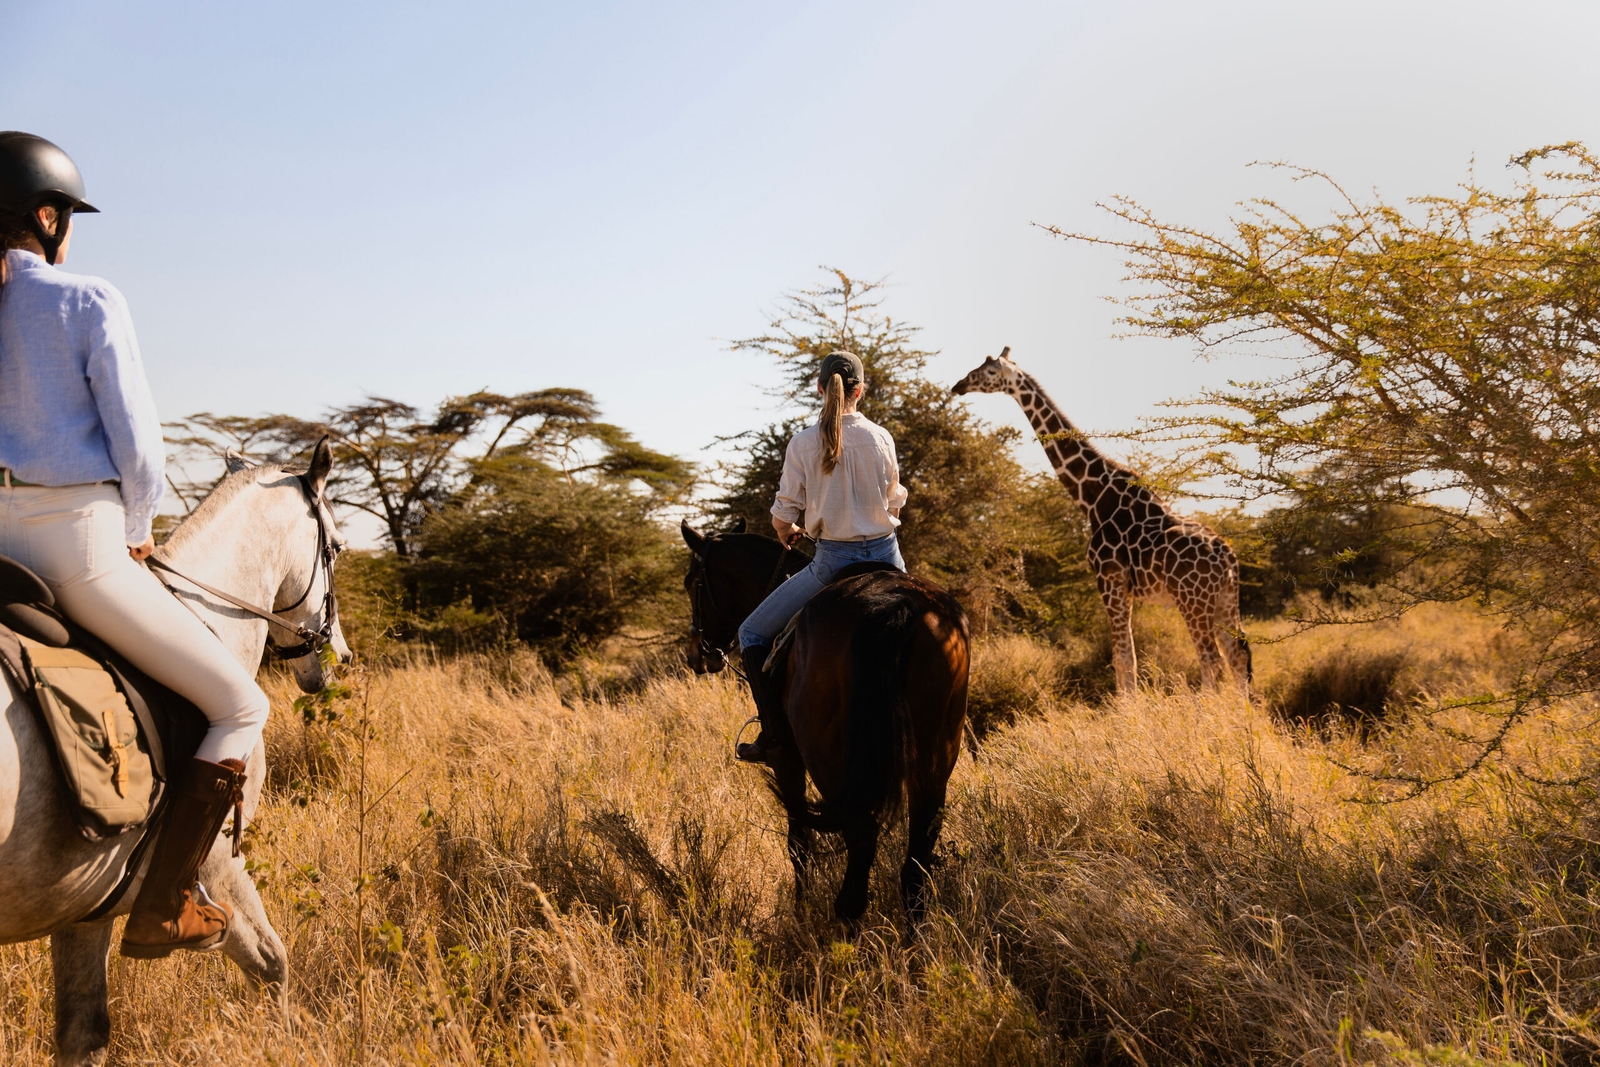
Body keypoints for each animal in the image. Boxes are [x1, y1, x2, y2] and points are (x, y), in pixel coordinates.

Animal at [953, 347, 1250, 694]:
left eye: (989, 372)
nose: (959, 385)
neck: (1093, 497)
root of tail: (1228, 558)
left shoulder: (1109, 580)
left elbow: (1123, 658)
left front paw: (1127, 709)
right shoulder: (1122, 587)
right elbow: (1126, 657)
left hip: (1193, 599)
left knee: (1211, 659)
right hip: (1226, 599)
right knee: (1237, 655)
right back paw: (1241, 711)